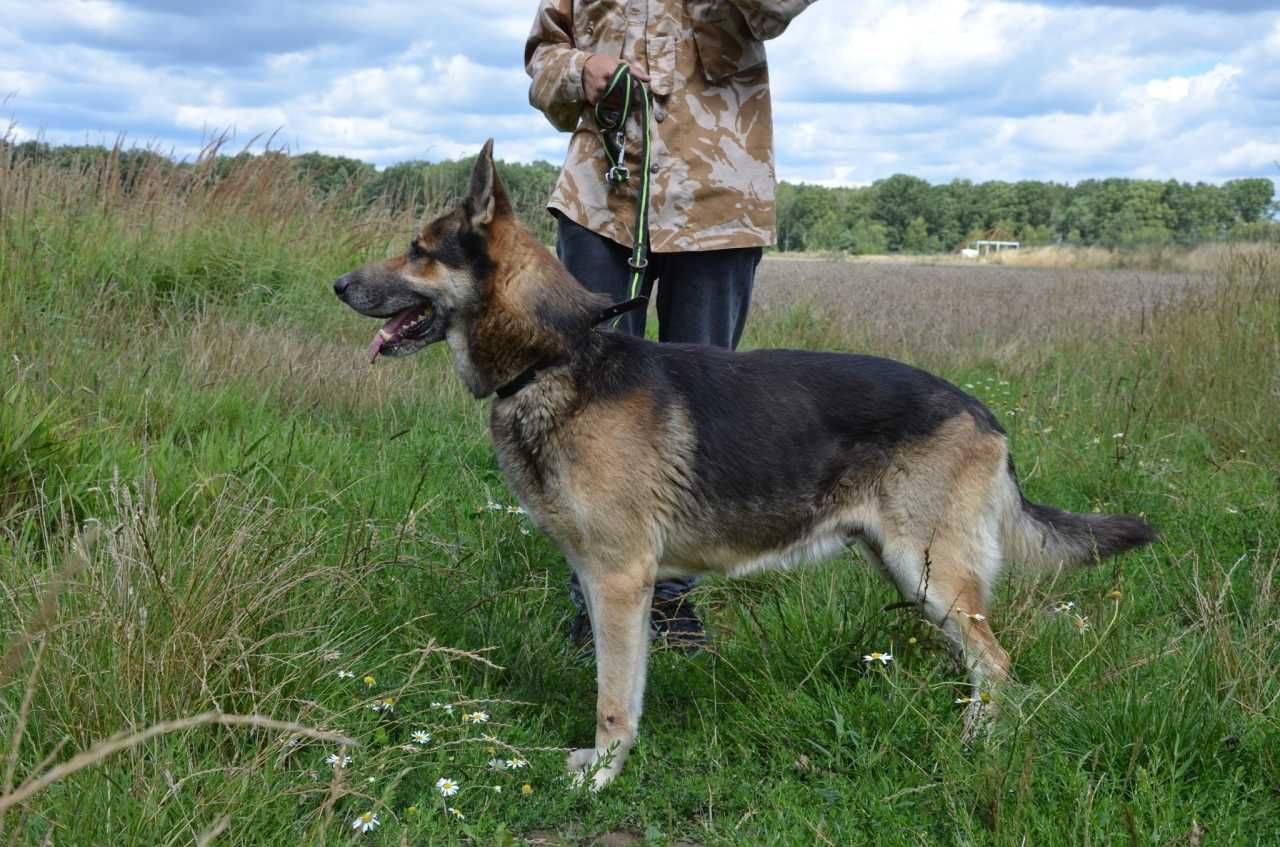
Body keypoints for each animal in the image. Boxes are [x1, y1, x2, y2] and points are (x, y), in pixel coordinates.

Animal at [332, 142, 1162, 793]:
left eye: (419, 249)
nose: (338, 285)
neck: (556, 355)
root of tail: (985, 414)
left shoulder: (621, 578)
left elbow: (612, 696)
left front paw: (601, 775)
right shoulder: (611, 583)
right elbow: (623, 682)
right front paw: (608, 762)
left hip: (929, 569)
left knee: (998, 662)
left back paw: (976, 742)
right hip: (910, 572)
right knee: (981, 659)